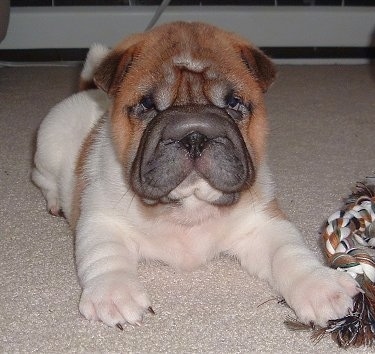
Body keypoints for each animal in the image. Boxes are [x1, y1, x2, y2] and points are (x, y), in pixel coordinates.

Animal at [32, 22, 358, 330]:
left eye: (233, 103)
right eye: (148, 105)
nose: (194, 135)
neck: (190, 204)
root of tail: (86, 90)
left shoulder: (263, 223)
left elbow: (288, 252)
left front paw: (321, 287)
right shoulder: (102, 219)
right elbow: (105, 254)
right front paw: (114, 294)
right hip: (47, 147)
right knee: (42, 179)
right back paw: (55, 203)